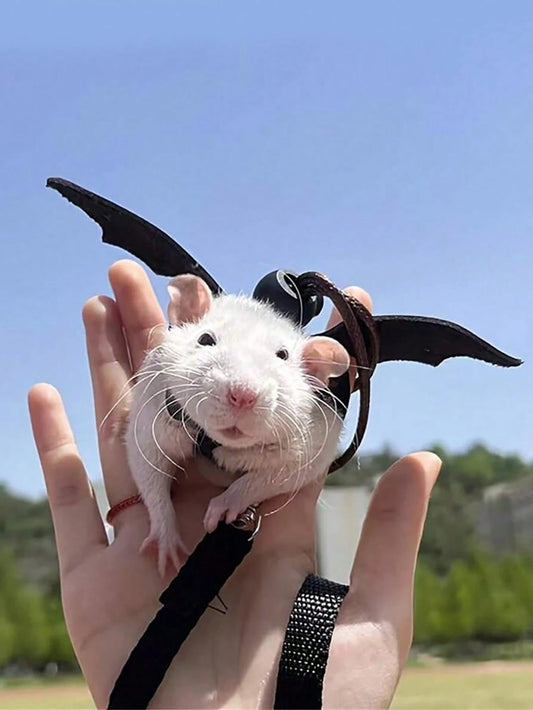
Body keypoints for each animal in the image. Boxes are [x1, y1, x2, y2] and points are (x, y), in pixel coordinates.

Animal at [125, 274, 350, 575]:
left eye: (283, 355)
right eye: (205, 339)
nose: (243, 395)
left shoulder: (314, 434)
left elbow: (285, 473)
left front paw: (228, 502)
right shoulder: (155, 408)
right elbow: (147, 463)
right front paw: (165, 536)